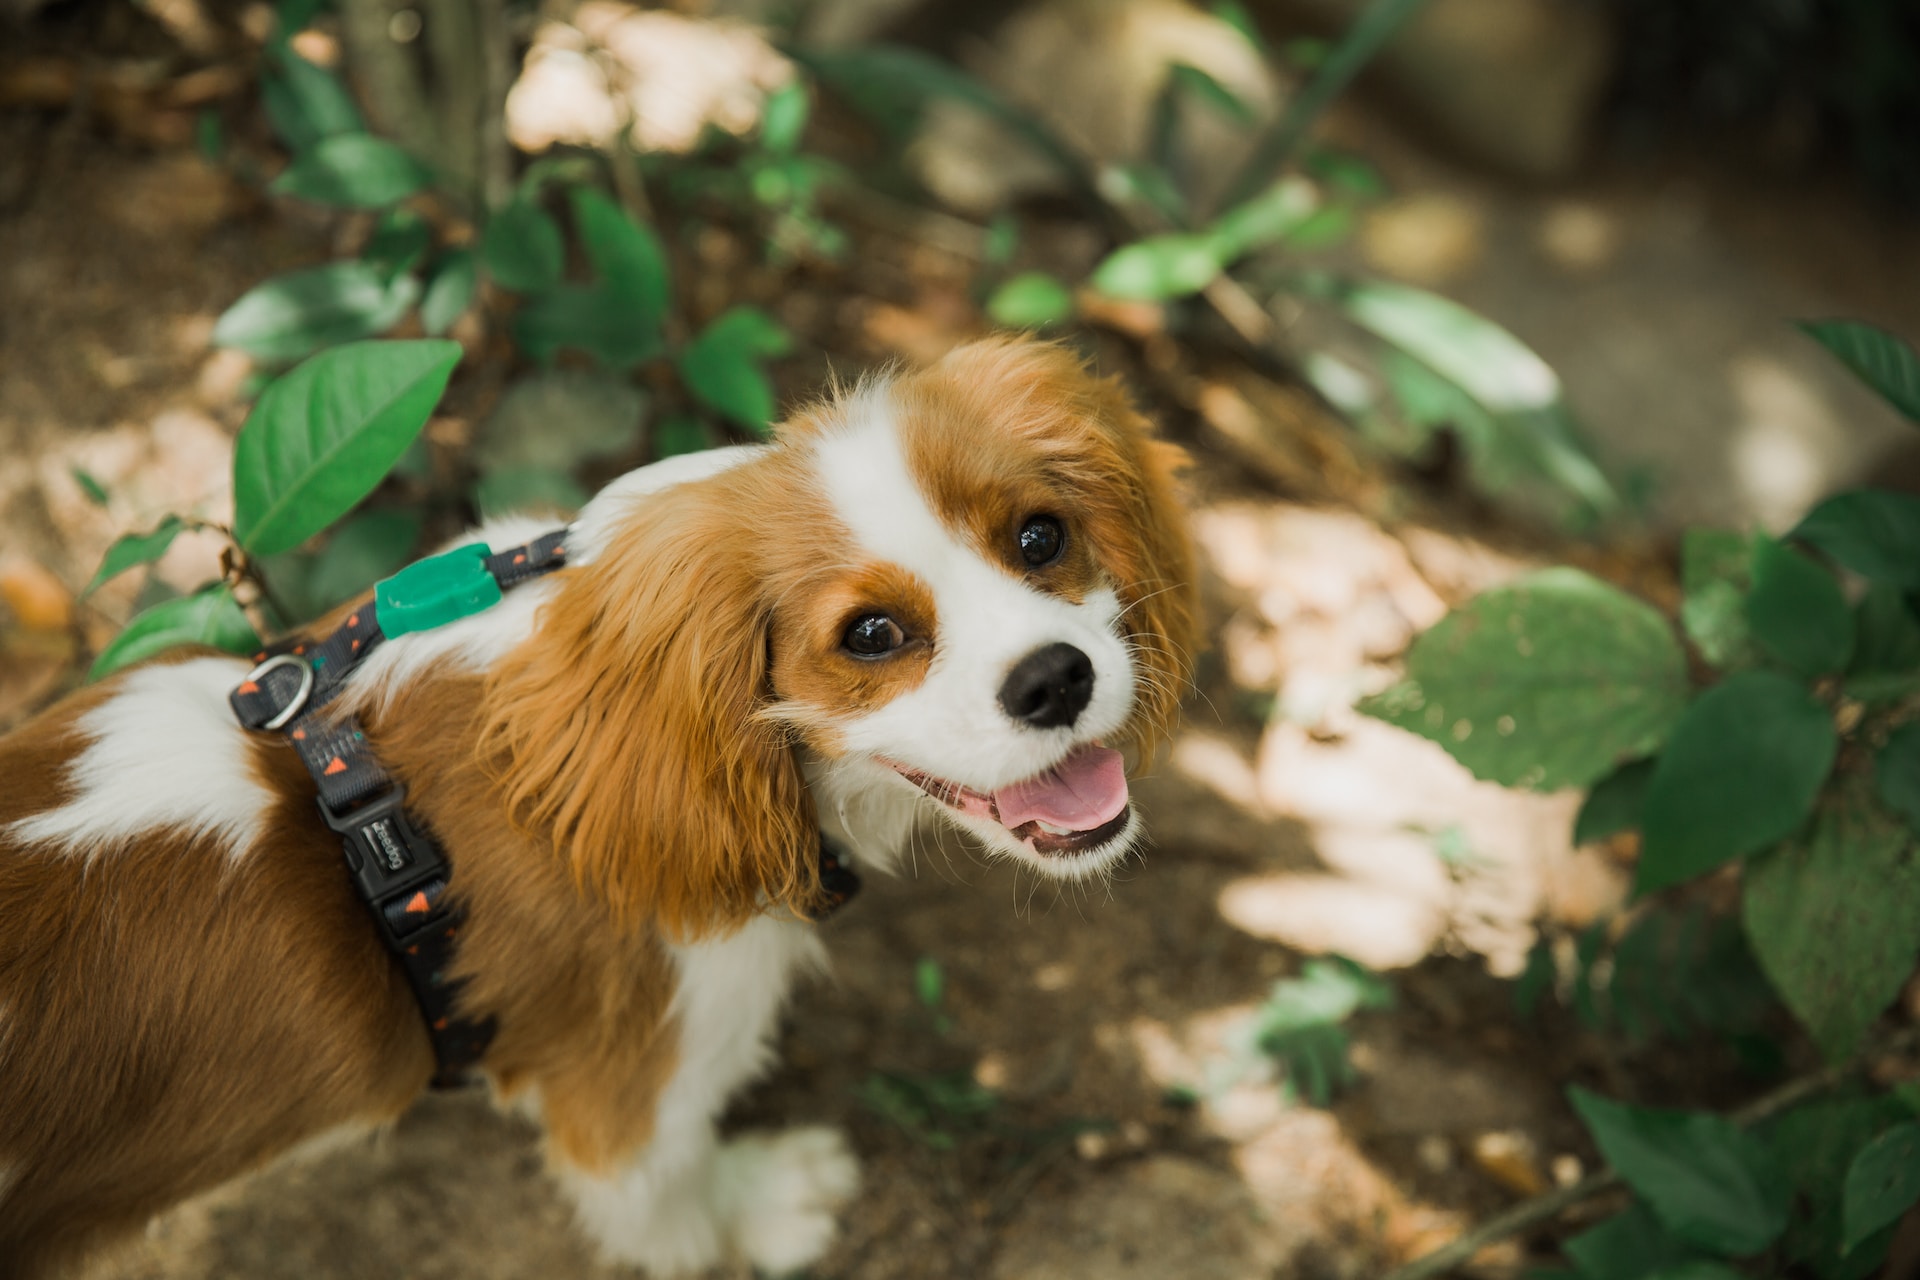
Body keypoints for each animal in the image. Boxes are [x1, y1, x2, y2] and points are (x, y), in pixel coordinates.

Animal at [0, 335, 1190, 1274]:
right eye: (871, 635)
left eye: (1040, 537)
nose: (1056, 679)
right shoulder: (634, 1089)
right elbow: (669, 1201)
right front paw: (759, 1205)